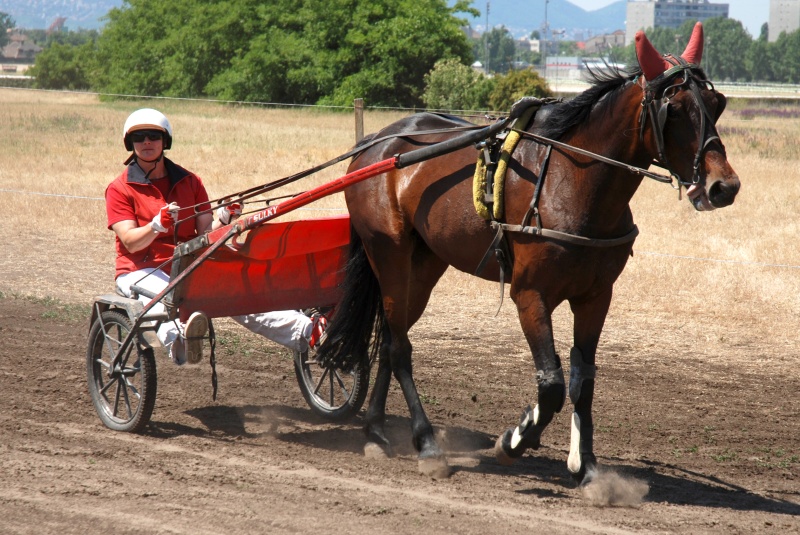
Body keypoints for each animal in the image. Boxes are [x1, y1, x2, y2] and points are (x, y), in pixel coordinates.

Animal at [316, 24, 740, 486]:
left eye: (716, 103)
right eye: (674, 109)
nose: (724, 186)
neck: (572, 183)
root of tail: (376, 142)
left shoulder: (596, 297)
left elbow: (582, 379)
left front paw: (586, 465)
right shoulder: (530, 296)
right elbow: (551, 383)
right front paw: (515, 438)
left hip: (424, 263)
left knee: (393, 336)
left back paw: (376, 430)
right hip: (388, 251)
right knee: (399, 349)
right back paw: (426, 442)